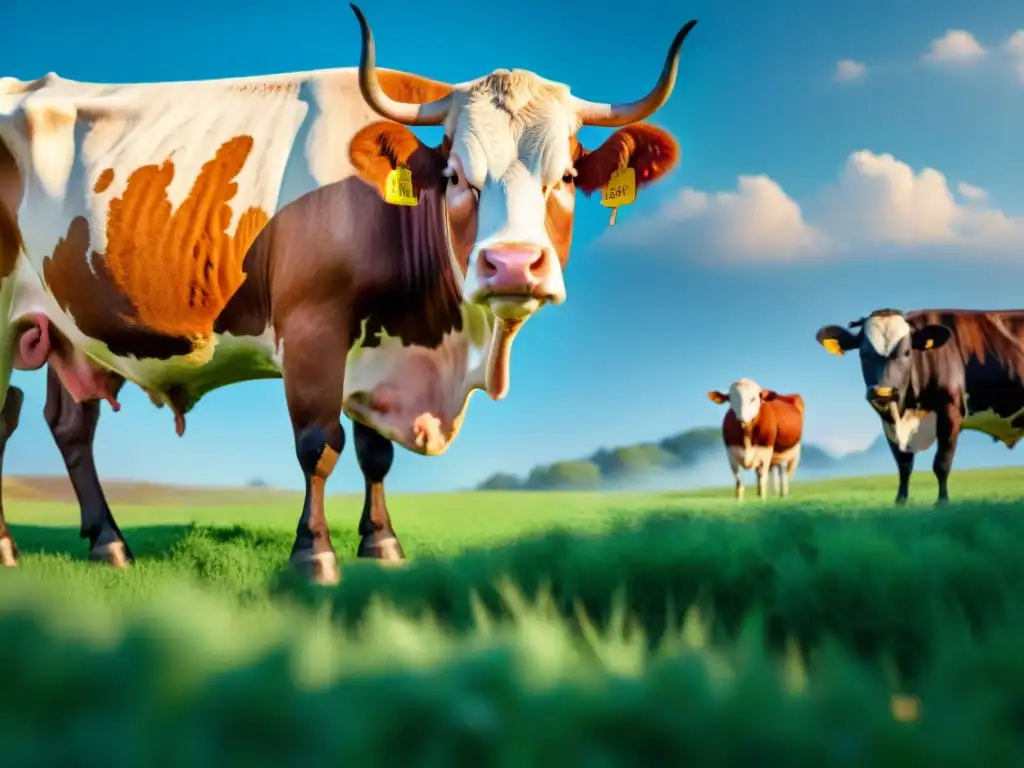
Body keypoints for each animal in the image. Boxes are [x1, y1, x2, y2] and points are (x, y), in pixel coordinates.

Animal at [0, 6, 696, 581]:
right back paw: (12, 549)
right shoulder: (314, 330)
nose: (512, 265)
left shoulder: (377, 349)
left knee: (70, 426)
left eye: (570, 175)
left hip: (65, 326)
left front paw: (381, 544)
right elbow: (319, 444)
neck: (439, 349)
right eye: (454, 176)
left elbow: (374, 452)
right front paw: (314, 555)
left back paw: (109, 544)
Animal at [819, 309, 1024, 507]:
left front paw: (942, 501)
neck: (909, 410)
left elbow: (941, 463)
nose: (884, 392)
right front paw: (900, 500)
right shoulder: (889, 422)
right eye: (863, 353)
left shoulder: (950, 413)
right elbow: (903, 464)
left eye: (907, 352)